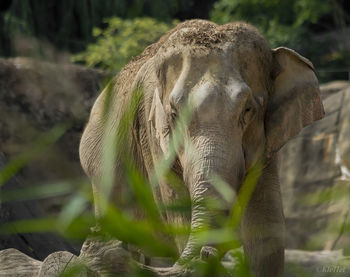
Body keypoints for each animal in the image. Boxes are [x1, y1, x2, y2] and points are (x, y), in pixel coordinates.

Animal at [79, 18, 326, 274]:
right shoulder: (153, 138)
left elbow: (267, 233)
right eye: (174, 114)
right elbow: (180, 216)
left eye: (248, 110)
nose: (209, 253)